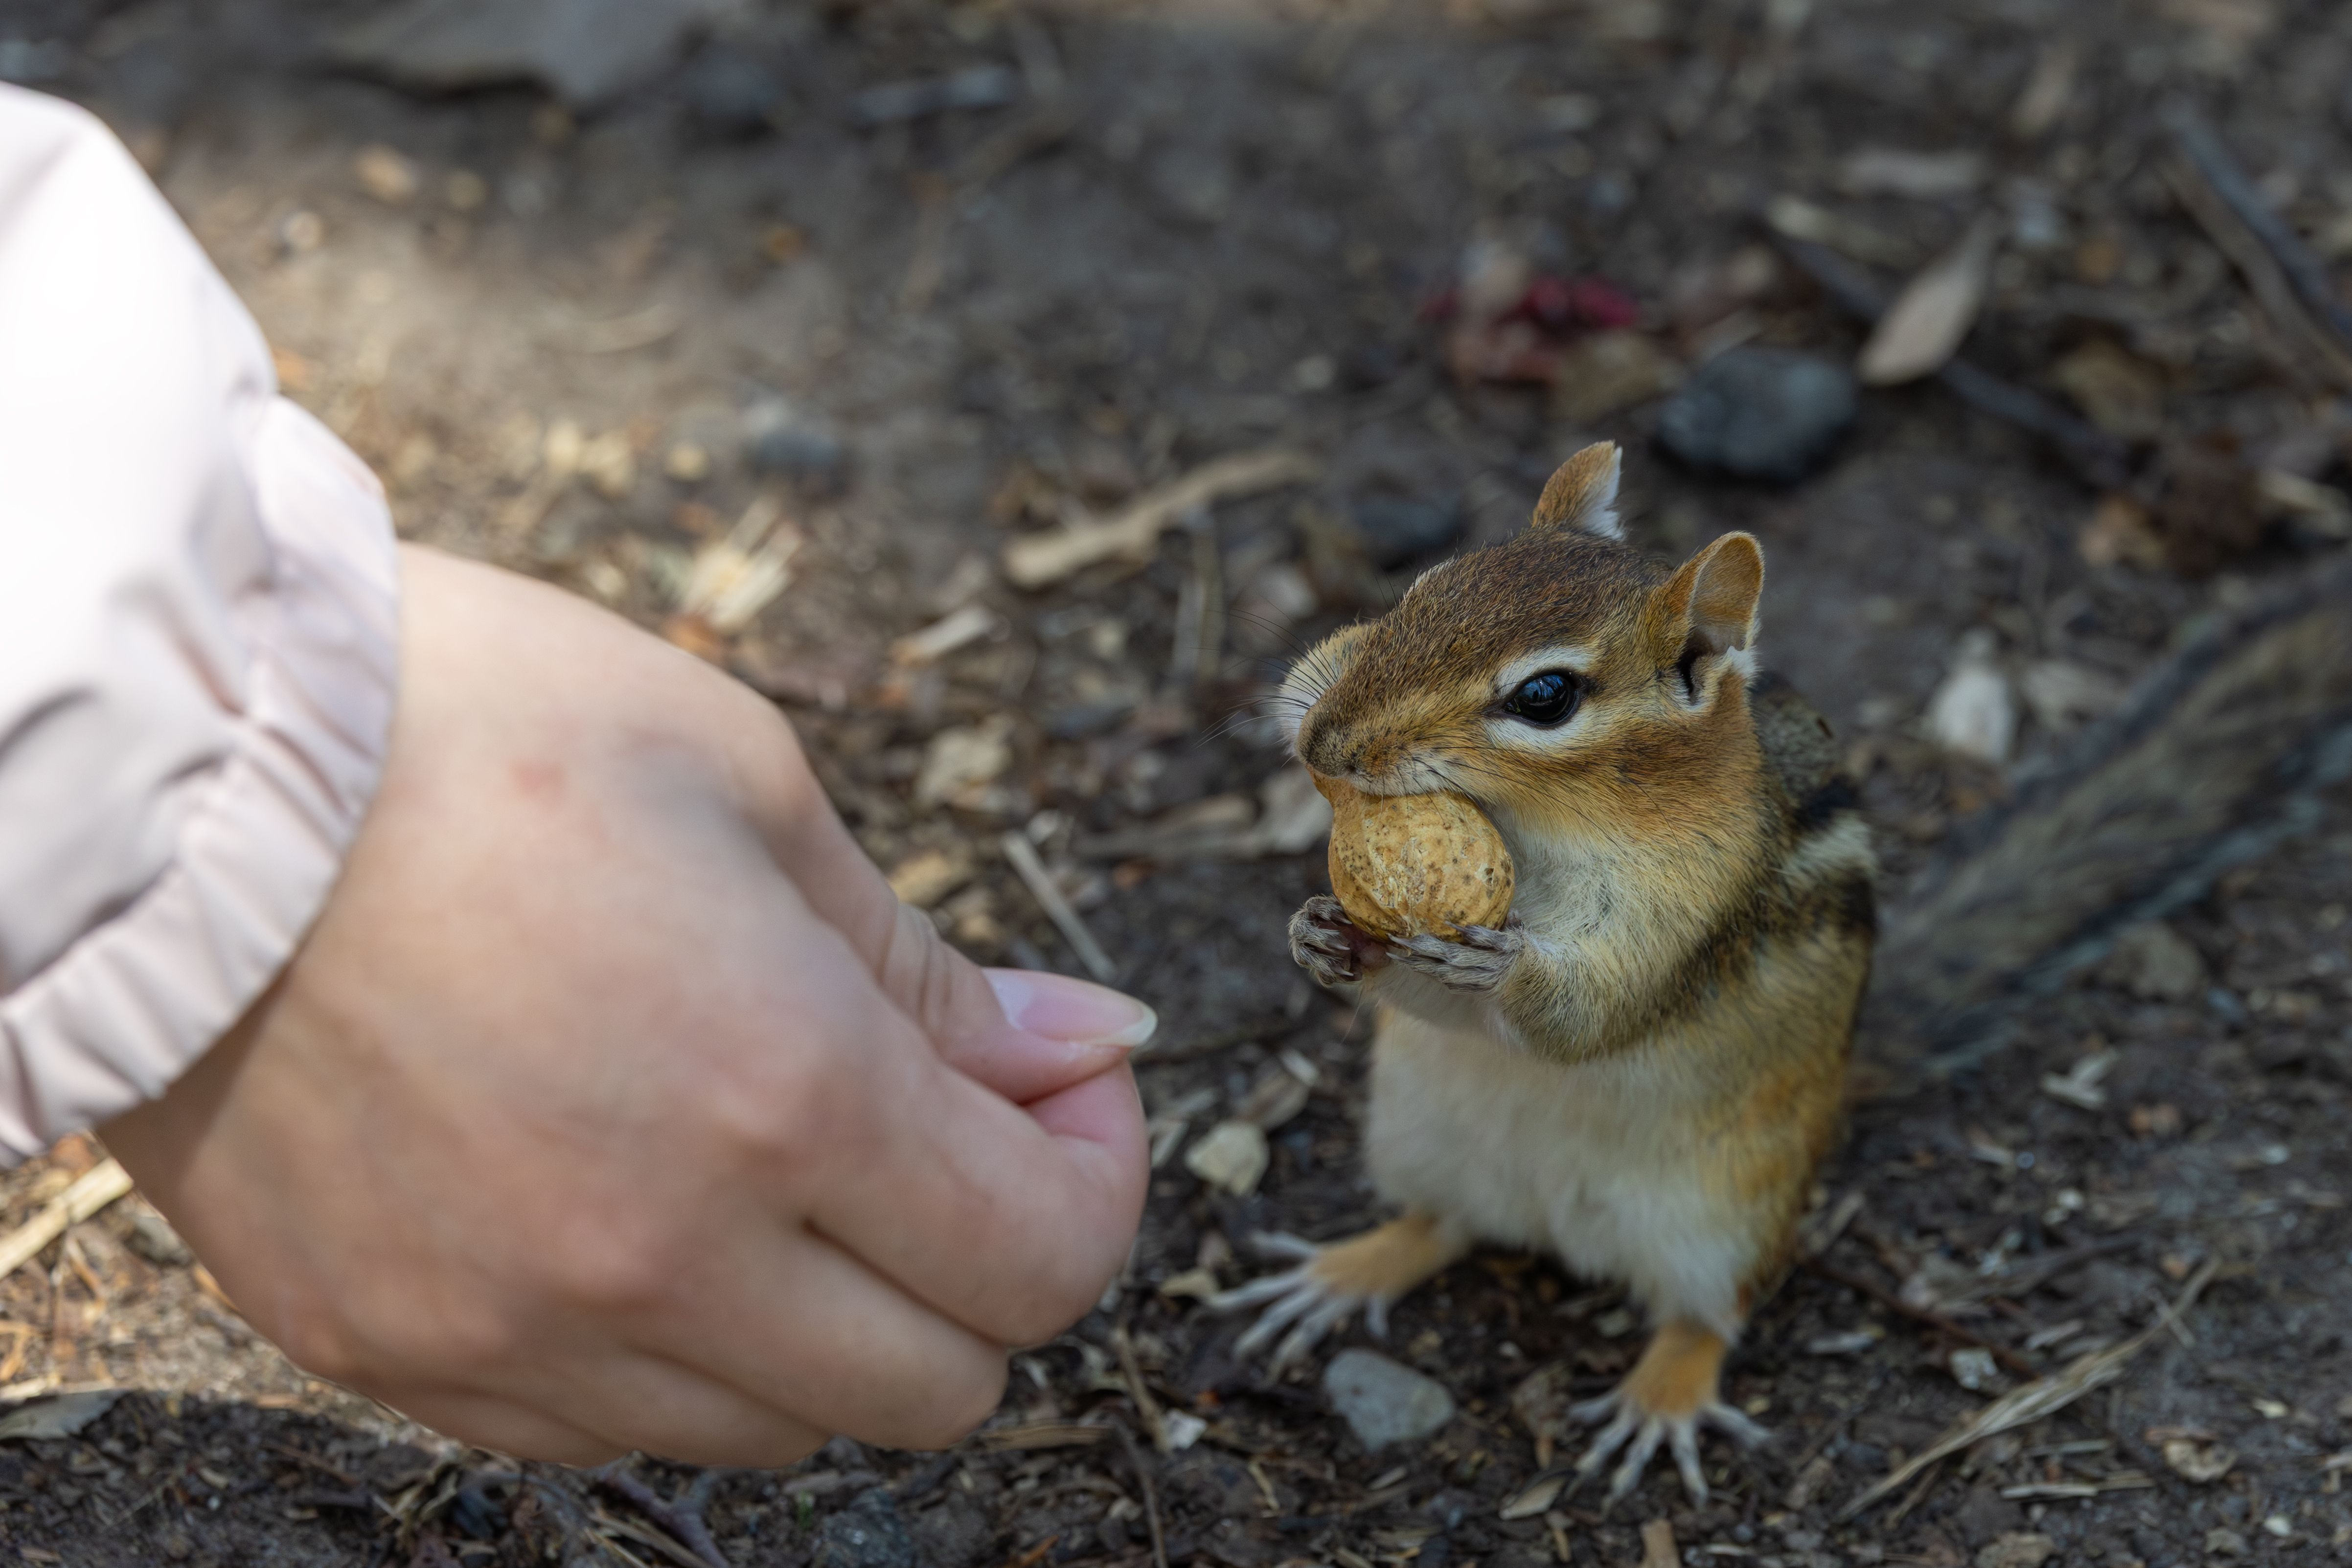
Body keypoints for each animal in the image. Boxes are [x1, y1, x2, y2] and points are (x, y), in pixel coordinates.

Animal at [1212, 441, 1876, 1504]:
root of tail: (1555, 1221)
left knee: (1704, 1318)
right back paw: (1339, 1274)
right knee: (1441, 1227)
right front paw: (1319, 935)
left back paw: (1658, 1404)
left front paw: (1503, 966)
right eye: (1427, 588)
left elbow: (1585, 1017)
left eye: (1545, 697)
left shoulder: (1681, 917)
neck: (1540, 834)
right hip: (1415, 1137)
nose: (1318, 742)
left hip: (1726, 1217)